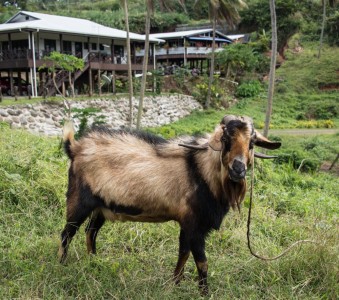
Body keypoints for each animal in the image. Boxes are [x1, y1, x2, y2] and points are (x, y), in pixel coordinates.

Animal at [59, 114, 282, 292]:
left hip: (102, 207)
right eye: (226, 139)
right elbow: (202, 262)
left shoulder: (187, 223)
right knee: (67, 234)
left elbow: (183, 253)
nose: (238, 170)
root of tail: (75, 148)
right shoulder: (194, 224)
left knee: (91, 232)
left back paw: (94, 262)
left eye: (252, 143)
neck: (201, 172)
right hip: (79, 201)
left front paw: (175, 283)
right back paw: (62, 264)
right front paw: (204, 292)